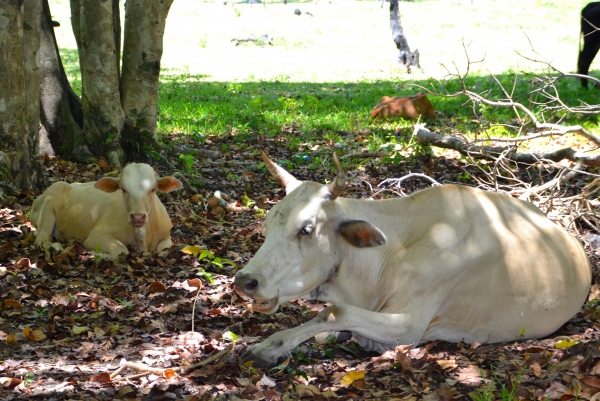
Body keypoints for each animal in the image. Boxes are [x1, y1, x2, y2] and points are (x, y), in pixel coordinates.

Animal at [31, 162, 180, 260]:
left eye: (153, 189)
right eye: (123, 189)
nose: (137, 217)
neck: (142, 238)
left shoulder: (166, 235)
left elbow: (164, 248)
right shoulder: (96, 235)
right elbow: (121, 250)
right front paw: (92, 253)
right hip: (51, 198)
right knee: (42, 238)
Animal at [234, 152, 592, 366]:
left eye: (306, 229)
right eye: (266, 226)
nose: (245, 281)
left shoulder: (411, 325)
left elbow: (334, 313)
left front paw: (271, 346)